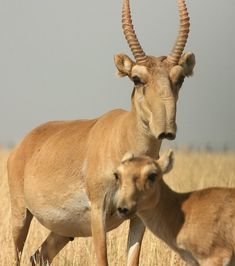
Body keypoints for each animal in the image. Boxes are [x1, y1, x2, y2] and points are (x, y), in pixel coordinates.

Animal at [7, 0, 195, 266]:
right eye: (136, 78)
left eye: (179, 78)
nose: (166, 129)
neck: (122, 136)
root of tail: (24, 144)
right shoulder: (99, 212)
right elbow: (102, 259)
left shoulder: (138, 217)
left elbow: (133, 259)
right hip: (21, 216)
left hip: (62, 231)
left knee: (38, 256)